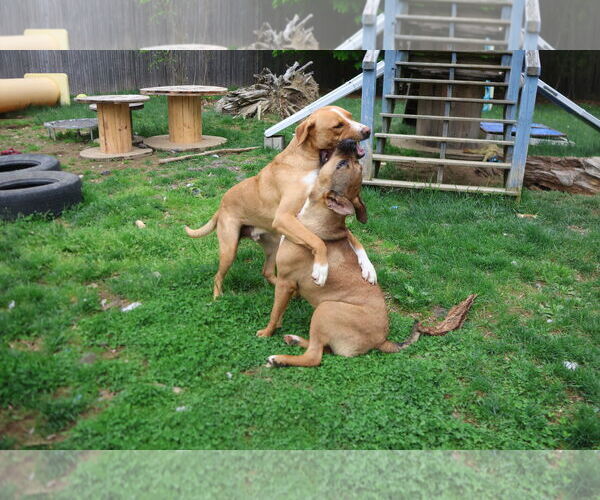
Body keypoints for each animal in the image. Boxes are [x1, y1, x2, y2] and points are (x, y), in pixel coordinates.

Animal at [185, 106, 378, 298]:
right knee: (218, 276)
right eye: (338, 126)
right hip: (229, 249)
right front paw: (321, 269)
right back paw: (218, 297)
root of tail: (221, 206)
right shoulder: (286, 217)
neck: (309, 162)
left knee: (267, 271)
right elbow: (317, 240)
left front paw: (368, 268)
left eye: (350, 116)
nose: (368, 130)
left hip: (274, 245)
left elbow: (353, 238)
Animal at [260, 141, 400, 368]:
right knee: (320, 348)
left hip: (325, 309)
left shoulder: (284, 282)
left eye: (341, 164)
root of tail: (382, 340)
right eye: (348, 164)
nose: (350, 144)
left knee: (314, 356)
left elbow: (274, 312)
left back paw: (279, 359)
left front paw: (266, 332)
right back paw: (294, 339)